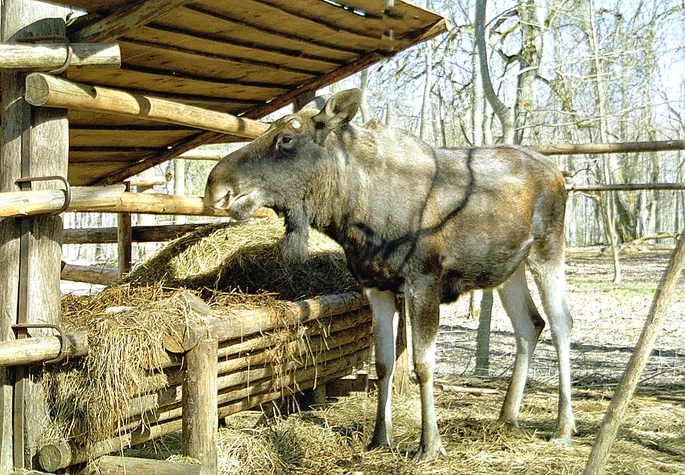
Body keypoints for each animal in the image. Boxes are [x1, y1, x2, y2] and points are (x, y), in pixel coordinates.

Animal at [203, 88, 572, 462]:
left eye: (286, 137)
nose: (214, 186)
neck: (354, 214)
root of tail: (558, 173)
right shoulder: (375, 286)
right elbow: (383, 364)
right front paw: (380, 438)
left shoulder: (423, 280)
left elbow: (422, 365)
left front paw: (430, 444)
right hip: (508, 268)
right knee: (530, 324)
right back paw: (507, 416)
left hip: (548, 248)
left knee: (560, 323)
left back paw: (563, 428)